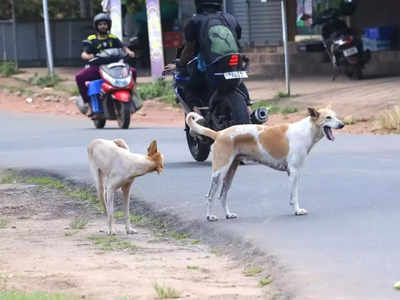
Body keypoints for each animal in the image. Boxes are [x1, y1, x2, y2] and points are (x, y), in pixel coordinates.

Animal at [186, 106, 346, 221]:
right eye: (328, 117)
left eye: (335, 115)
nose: (342, 125)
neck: (306, 130)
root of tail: (219, 134)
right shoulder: (294, 171)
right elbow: (294, 195)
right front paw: (297, 210)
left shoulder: (292, 172)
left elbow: (292, 195)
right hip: (219, 173)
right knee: (210, 196)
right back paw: (209, 216)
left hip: (230, 173)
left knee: (222, 195)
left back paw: (228, 214)